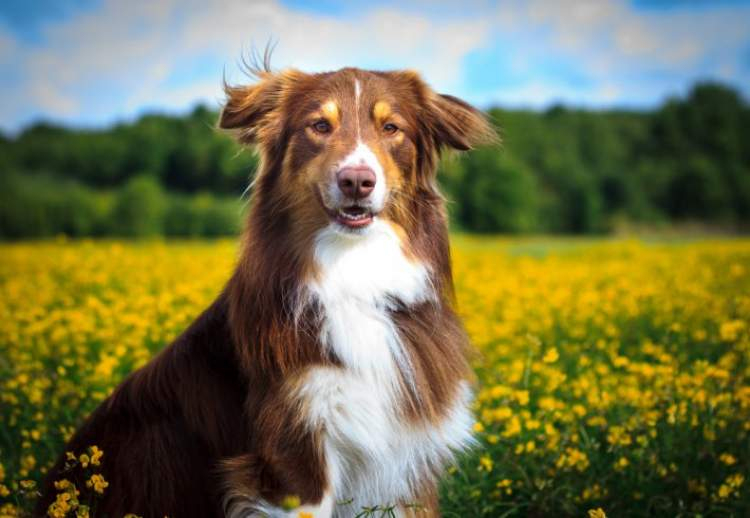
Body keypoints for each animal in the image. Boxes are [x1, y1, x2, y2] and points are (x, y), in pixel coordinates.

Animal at [35, 63, 496, 516]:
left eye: (391, 128)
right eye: (319, 126)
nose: (356, 181)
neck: (352, 273)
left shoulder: (403, 467)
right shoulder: (293, 459)